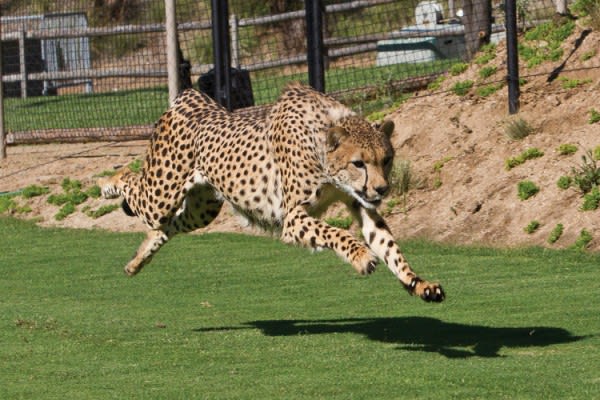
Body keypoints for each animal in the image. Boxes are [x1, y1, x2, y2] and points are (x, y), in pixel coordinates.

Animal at [99, 85, 446, 304]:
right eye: (359, 163)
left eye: (386, 159)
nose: (382, 188)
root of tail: (193, 97)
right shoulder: (293, 218)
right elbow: (337, 234)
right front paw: (360, 257)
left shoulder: (361, 204)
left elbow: (389, 246)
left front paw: (419, 284)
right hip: (161, 194)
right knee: (132, 183)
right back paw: (108, 184)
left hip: (203, 208)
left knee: (165, 226)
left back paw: (137, 261)